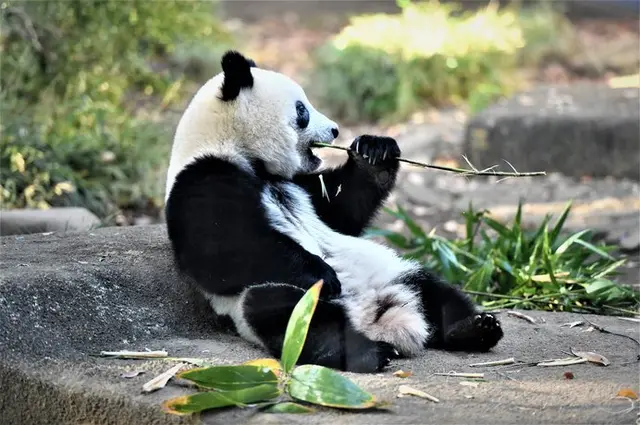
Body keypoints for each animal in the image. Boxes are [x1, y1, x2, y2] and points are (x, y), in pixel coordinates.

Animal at [162, 51, 502, 372]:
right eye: (302, 110)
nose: (336, 130)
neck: (237, 150)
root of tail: (376, 318)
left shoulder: (300, 185)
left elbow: (342, 211)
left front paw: (375, 153)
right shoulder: (202, 178)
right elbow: (220, 250)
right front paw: (323, 273)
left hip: (390, 272)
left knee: (433, 291)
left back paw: (474, 328)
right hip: (272, 297)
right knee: (292, 316)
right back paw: (368, 353)